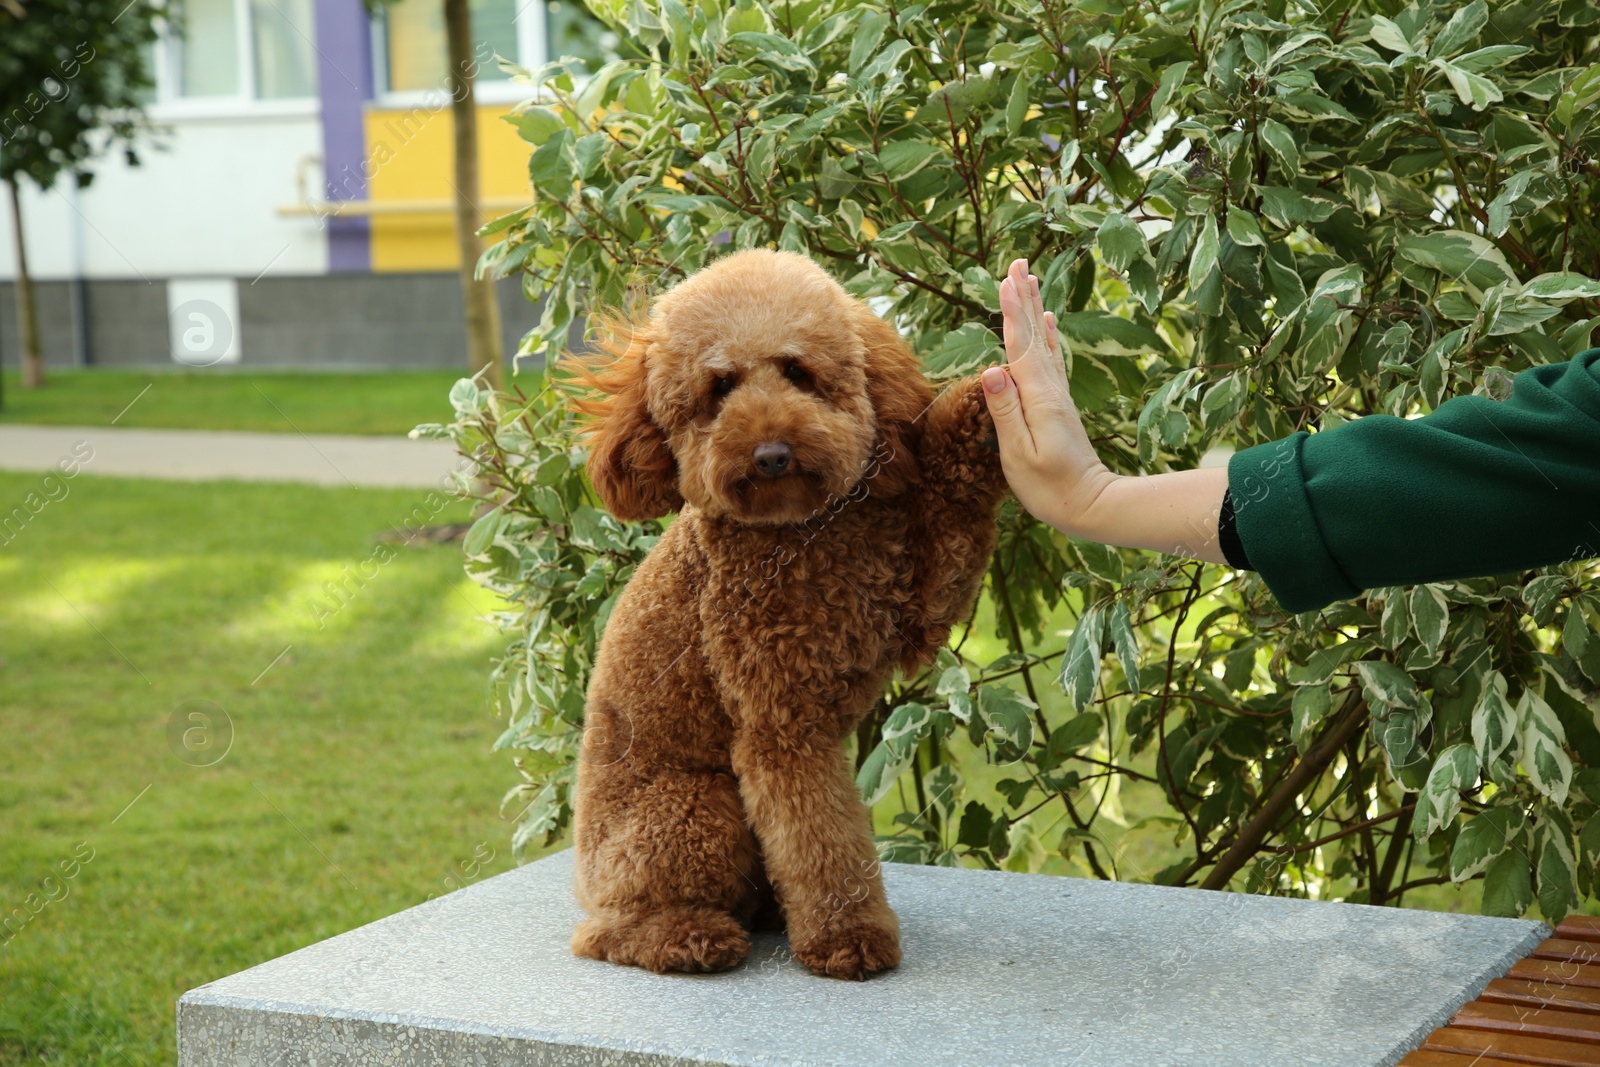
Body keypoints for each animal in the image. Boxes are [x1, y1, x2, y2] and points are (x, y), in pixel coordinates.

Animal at [569, 246, 1004, 979]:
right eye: (718, 389)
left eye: (799, 372)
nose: (771, 454)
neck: (802, 534)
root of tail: (584, 881)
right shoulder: (782, 723)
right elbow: (820, 840)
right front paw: (848, 937)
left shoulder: (911, 603)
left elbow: (955, 498)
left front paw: (989, 404)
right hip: (693, 807)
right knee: (607, 933)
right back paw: (688, 935)